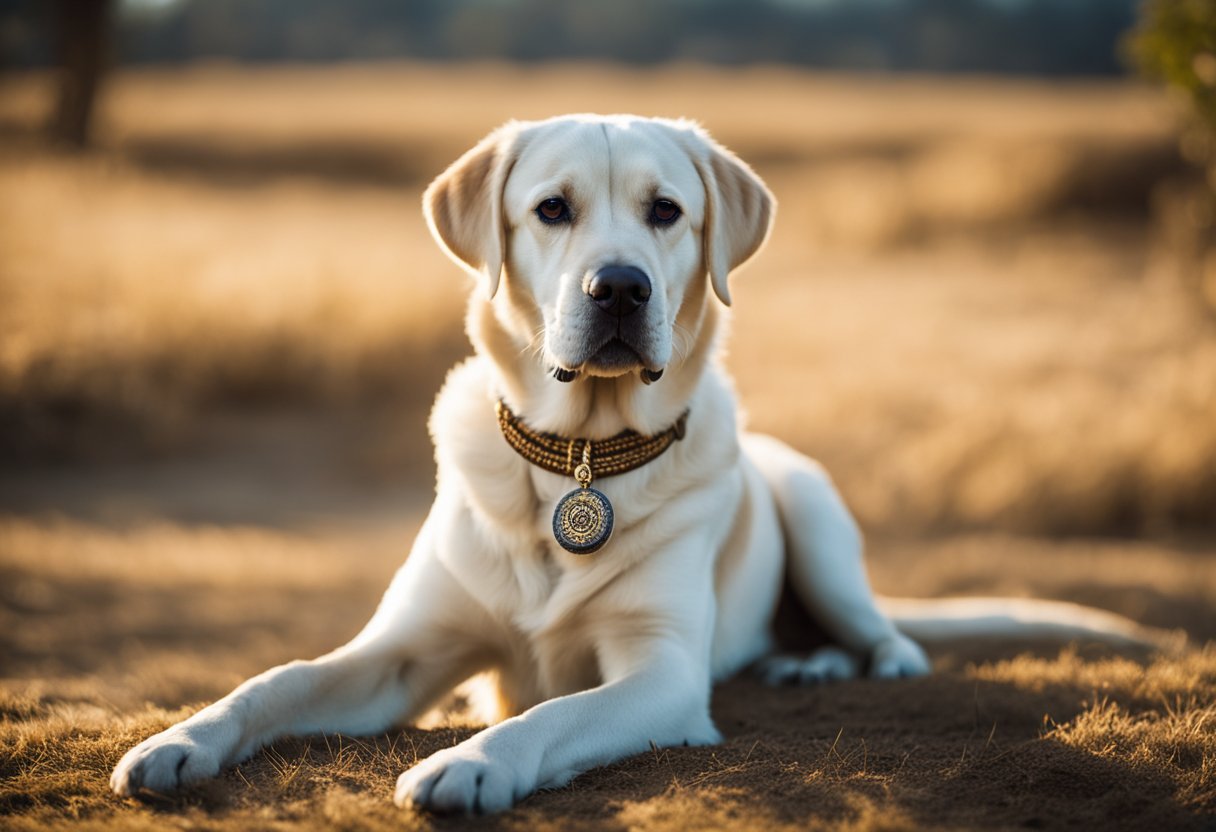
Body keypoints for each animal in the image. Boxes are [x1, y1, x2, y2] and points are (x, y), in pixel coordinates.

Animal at [109, 113, 1162, 817]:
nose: (618, 288)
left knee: (881, 630)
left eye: (666, 211)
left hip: (814, 512)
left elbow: (553, 716)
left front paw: (472, 762)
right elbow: (277, 679)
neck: (581, 456)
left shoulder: (659, 673)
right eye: (551, 209)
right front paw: (178, 742)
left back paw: (843, 660)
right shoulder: (404, 652)